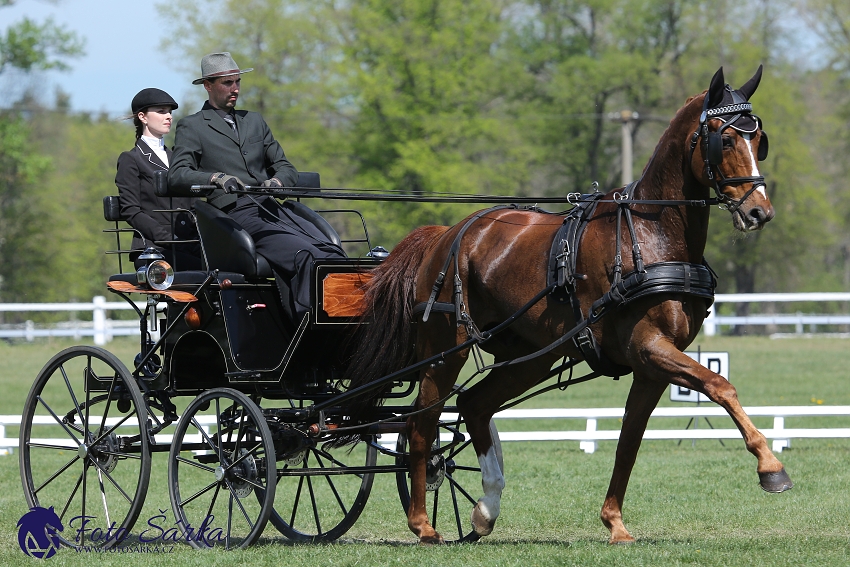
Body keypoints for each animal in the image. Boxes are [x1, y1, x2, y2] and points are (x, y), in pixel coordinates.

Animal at [344, 66, 788, 544]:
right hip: (445, 351)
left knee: (474, 406)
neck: (650, 234)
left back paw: (486, 507)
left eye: (759, 141)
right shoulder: (649, 347)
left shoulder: (651, 365)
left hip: (531, 355)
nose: (760, 212)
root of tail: (445, 233)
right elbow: (720, 386)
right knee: (420, 424)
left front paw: (614, 522)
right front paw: (771, 467)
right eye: (726, 139)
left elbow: (629, 441)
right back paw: (423, 524)